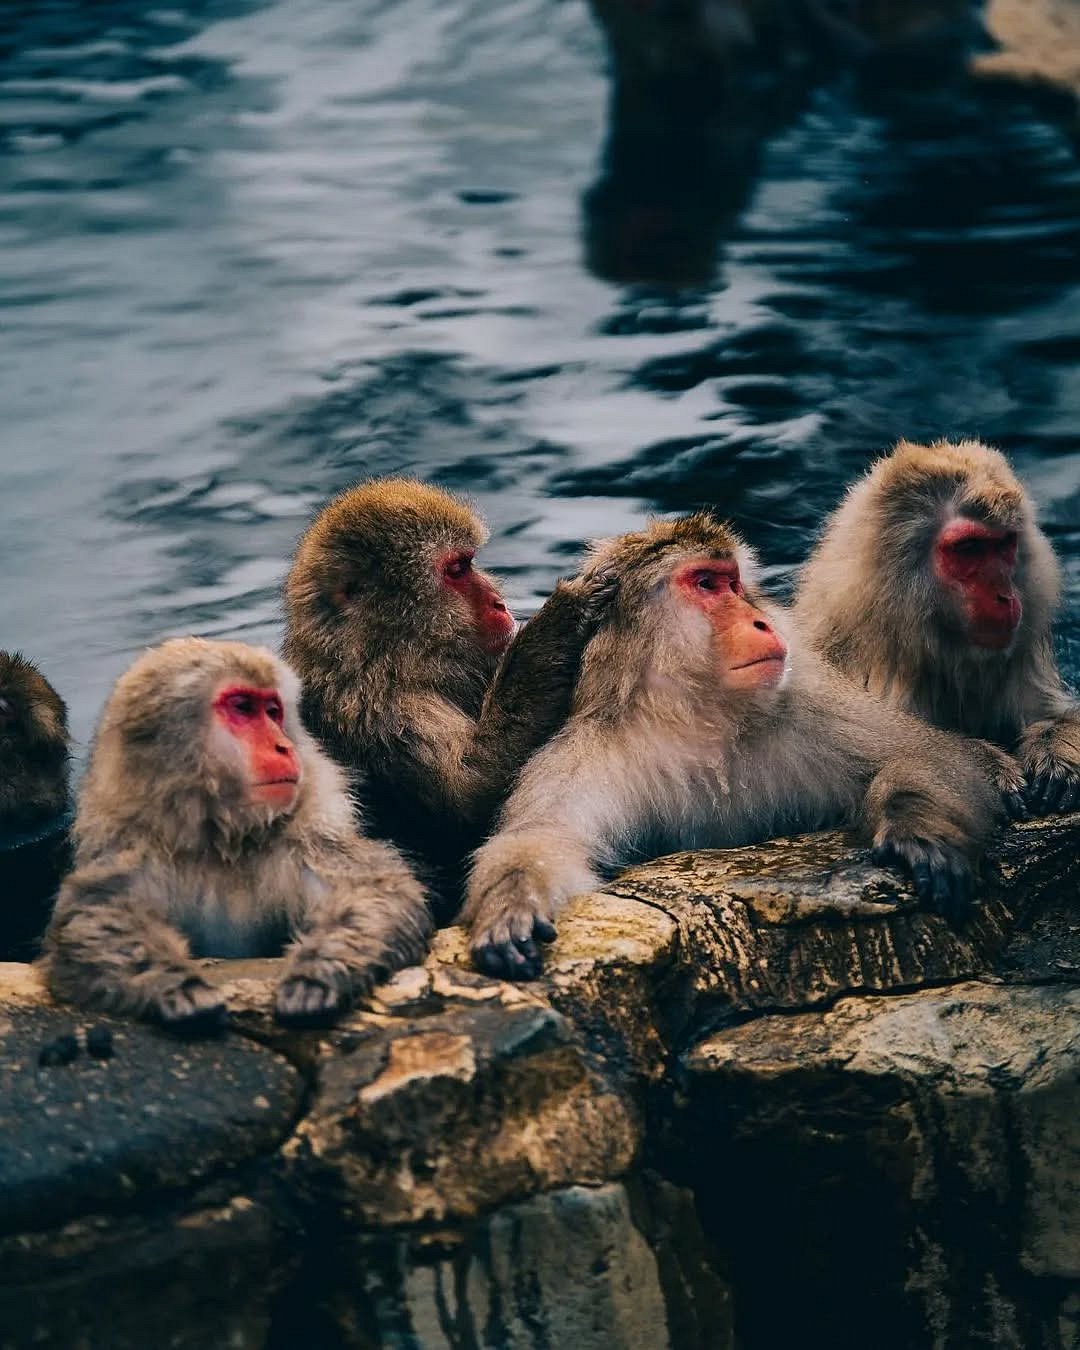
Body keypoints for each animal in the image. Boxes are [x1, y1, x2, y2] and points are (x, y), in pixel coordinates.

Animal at [42, 638, 430, 1032]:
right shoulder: (134, 851)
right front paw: (172, 984)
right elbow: (94, 914)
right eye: (243, 708)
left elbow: (373, 890)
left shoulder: (305, 844)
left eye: (273, 712)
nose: (283, 746)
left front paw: (317, 973)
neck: (223, 840)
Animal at [282, 478, 612, 913]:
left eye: (470, 562)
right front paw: (559, 620)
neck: (384, 657)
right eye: (456, 570)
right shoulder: (385, 710)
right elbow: (469, 796)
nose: (499, 603)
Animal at [462, 513, 1015, 980]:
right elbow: (546, 837)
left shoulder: (811, 714)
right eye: (706, 584)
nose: (761, 621)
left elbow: (930, 756)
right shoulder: (580, 758)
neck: (697, 722)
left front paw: (918, 833)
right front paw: (512, 905)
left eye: (733, 583)